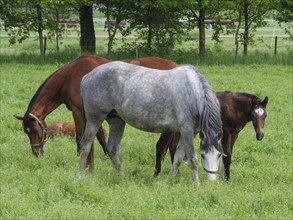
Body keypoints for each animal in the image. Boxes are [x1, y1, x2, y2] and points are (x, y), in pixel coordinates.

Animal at [13, 54, 176, 172]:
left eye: (35, 130)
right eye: (26, 132)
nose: (36, 153)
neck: (69, 77)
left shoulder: (79, 112)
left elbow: (80, 138)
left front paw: (81, 159)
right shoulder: (94, 114)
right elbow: (100, 137)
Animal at [78, 61, 220, 183]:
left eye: (219, 155)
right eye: (203, 155)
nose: (212, 182)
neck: (192, 91)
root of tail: (87, 77)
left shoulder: (191, 132)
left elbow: (178, 157)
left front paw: (168, 180)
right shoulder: (186, 130)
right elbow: (192, 159)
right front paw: (197, 185)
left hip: (116, 121)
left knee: (112, 149)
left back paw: (122, 176)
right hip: (94, 119)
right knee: (85, 147)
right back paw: (80, 176)